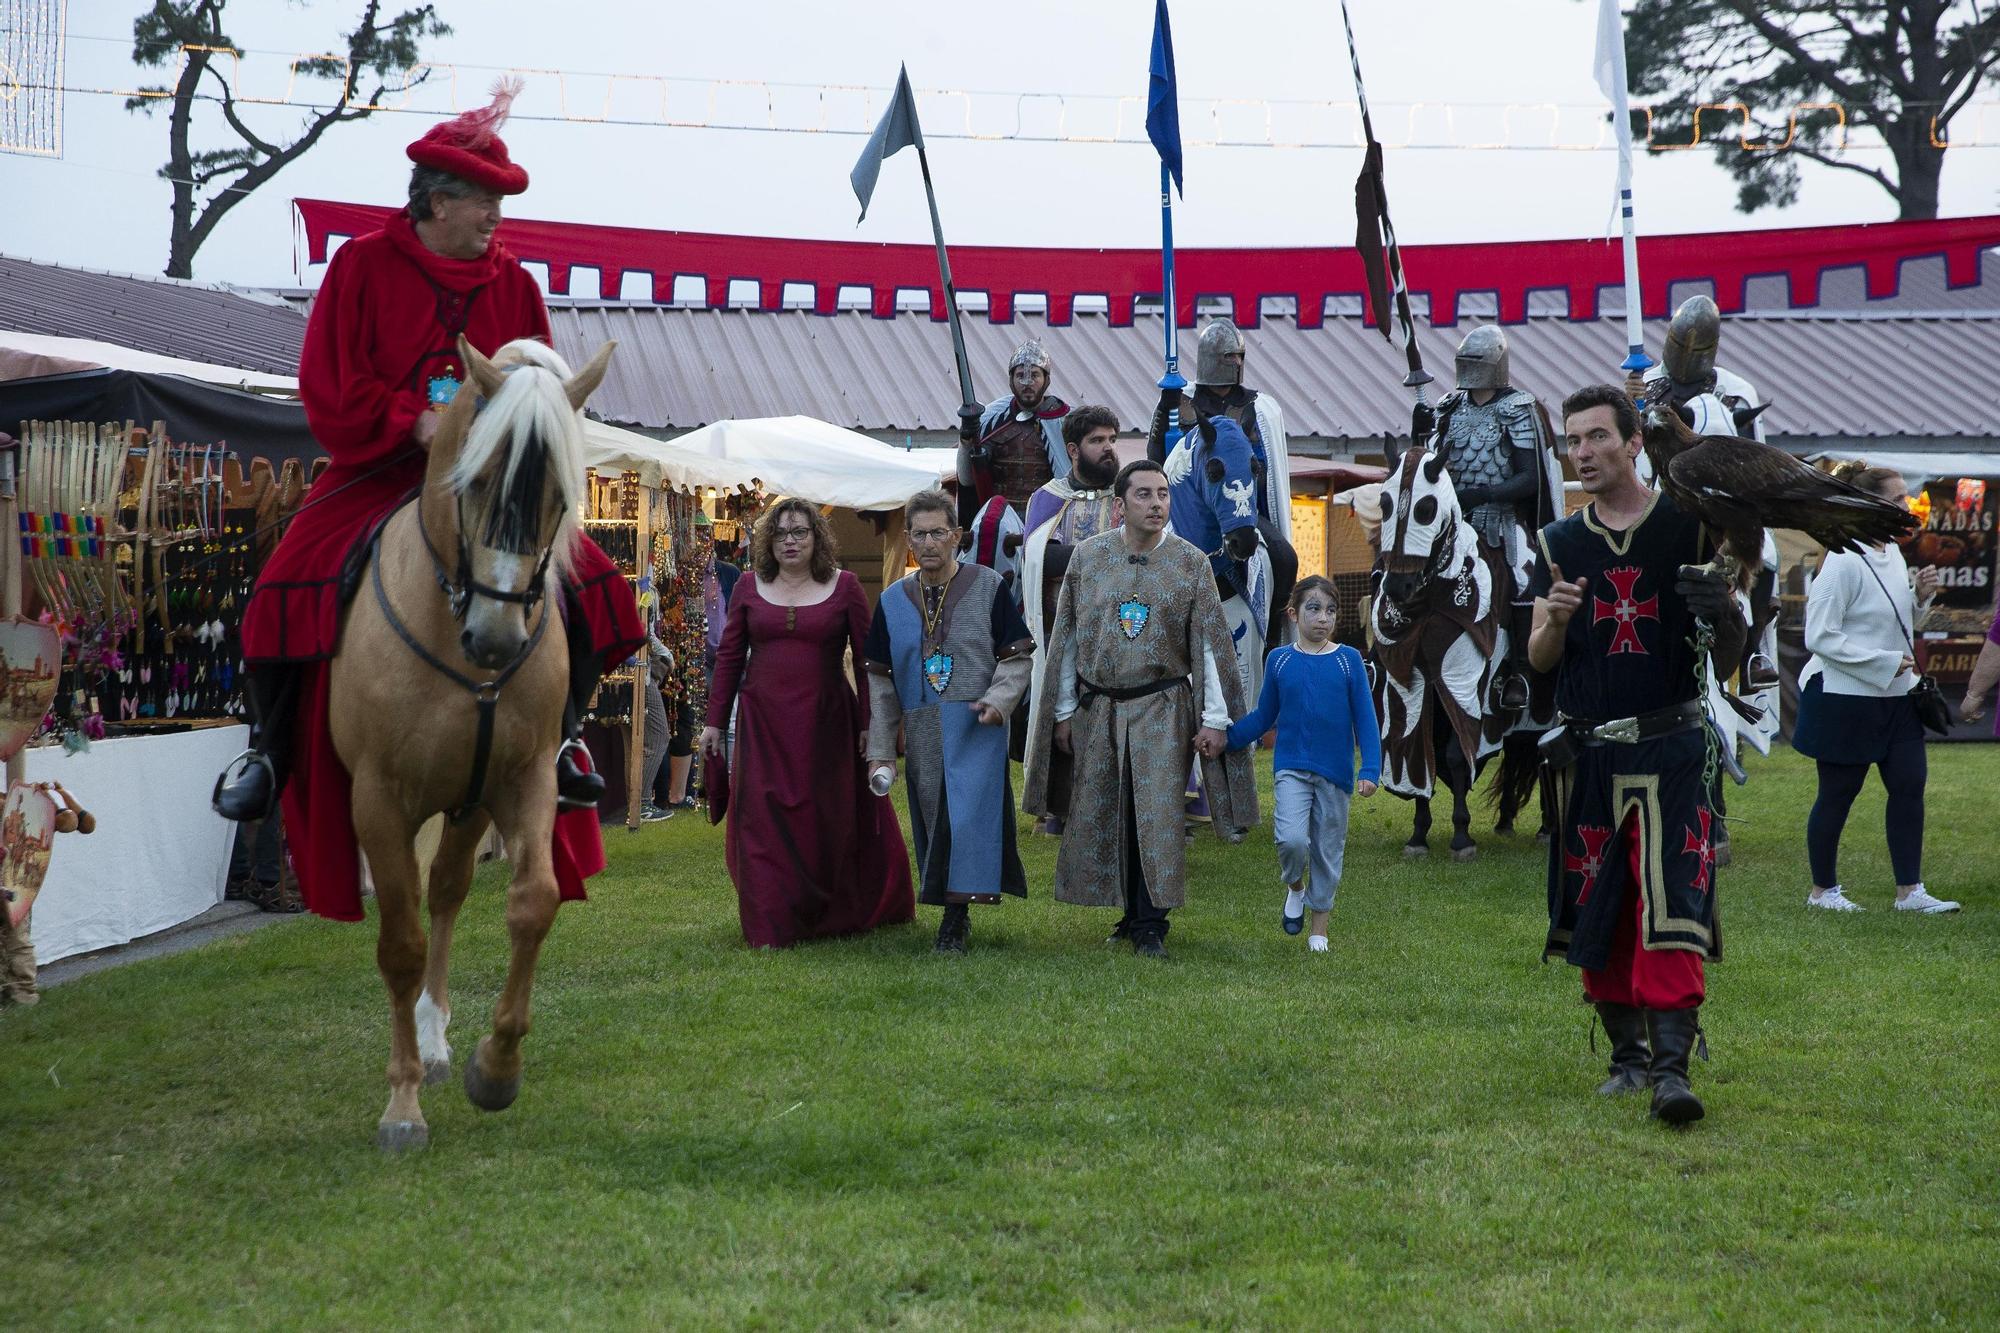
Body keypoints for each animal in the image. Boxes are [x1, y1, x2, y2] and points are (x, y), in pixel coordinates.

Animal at [332, 330, 612, 1144]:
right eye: (477, 478)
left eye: (560, 496)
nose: (496, 639)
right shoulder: (378, 800)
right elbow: (399, 943)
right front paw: (401, 1104)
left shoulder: (523, 780)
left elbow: (534, 901)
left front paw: (498, 1066)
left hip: (467, 802)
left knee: (449, 889)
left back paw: (435, 1037)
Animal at [1360, 446, 1544, 856]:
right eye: (1384, 502)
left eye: (1427, 508)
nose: (1397, 586)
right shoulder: (1410, 684)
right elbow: (1417, 744)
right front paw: (1418, 833)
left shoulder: (1461, 680)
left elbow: (1457, 755)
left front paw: (1461, 835)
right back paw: (1506, 820)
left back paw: (1548, 828)